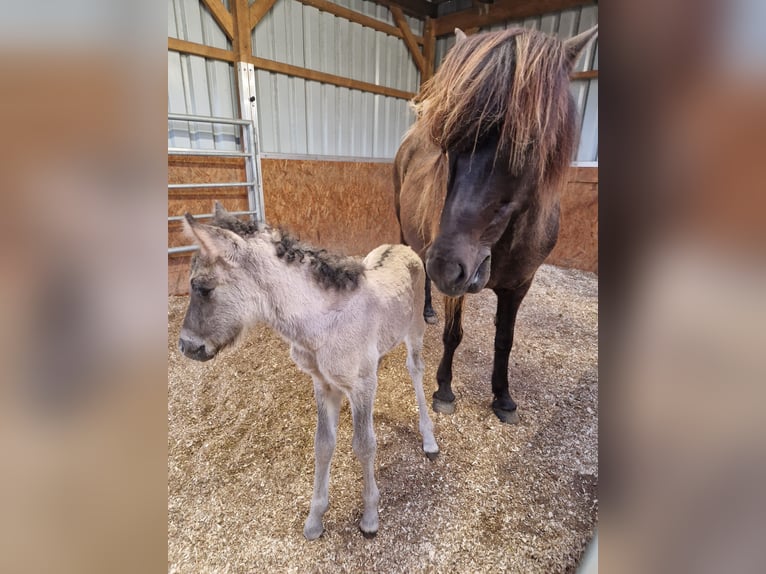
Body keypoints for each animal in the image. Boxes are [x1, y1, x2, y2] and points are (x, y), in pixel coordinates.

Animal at [177, 202, 439, 540]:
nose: (187, 346)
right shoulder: (324, 384)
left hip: (416, 328)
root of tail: (403, 248)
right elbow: (323, 445)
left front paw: (370, 517)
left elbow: (364, 445)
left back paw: (429, 439)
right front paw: (315, 519)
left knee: (415, 370)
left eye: (203, 288)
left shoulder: (360, 384)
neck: (323, 323)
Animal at [394, 26, 599, 423]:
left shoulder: (520, 285)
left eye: (529, 143)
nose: (447, 266)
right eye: (447, 144)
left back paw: (427, 309)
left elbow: (505, 339)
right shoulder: (456, 282)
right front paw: (444, 390)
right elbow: (453, 334)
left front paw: (503, 397)